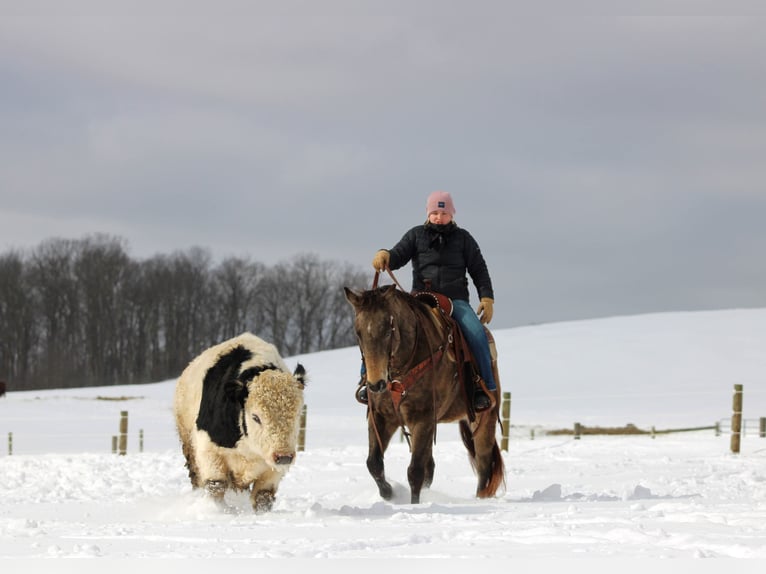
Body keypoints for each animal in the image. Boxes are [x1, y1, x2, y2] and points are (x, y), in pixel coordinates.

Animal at [344, 282, 505, 504]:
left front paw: (414, 505)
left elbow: (415, 471)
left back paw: (480, 498)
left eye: (387, 331)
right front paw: (389, 494)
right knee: (431, 466)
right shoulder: (381, 416)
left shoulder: (422, 418)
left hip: (484, 418)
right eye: (359, 333)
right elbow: (374, 463)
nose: (376, 385)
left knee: (483, 464)